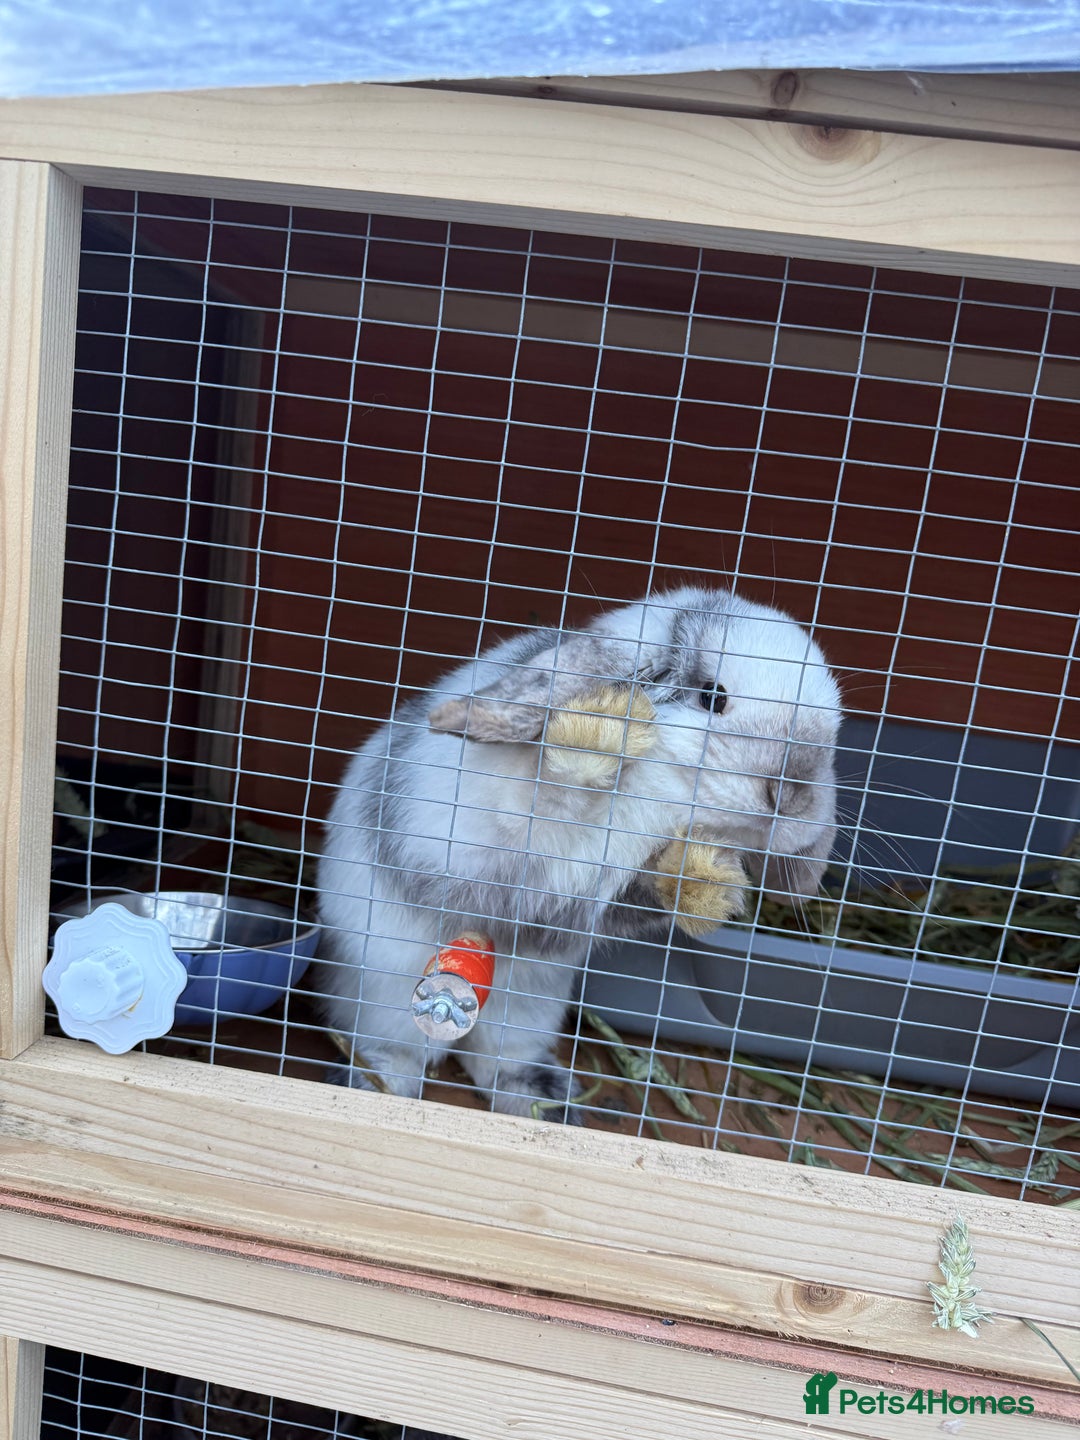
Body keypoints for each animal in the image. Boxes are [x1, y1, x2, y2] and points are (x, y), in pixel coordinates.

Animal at [316, 585, 841, 1120]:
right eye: (712, 696)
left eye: (832, 733)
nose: (792, 797)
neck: (660, 793)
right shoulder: (510, 814)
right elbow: (555, 785)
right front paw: (599, 730)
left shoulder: (600, 900)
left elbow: (653, 888)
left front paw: (710, 884)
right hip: (384, 989)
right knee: (394, 1049)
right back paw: (371, 1087)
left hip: (531, 1006)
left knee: (495, 1058)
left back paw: (547, 1101)